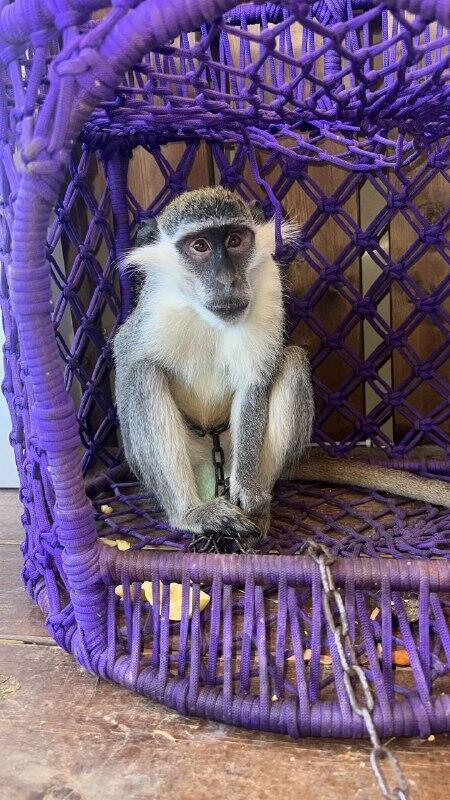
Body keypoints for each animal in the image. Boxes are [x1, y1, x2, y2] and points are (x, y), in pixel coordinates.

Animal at [113, 187, 450, 554]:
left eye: (235, 240)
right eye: (199, 245)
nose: (227, 281)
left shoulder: (268, 289)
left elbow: (255, 383)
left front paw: (247, 491)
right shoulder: (152, 314)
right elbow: (128, 358)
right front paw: (191, 515)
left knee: (292, 363)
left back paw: (258, 510)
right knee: (143, 373)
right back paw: (191, 512)